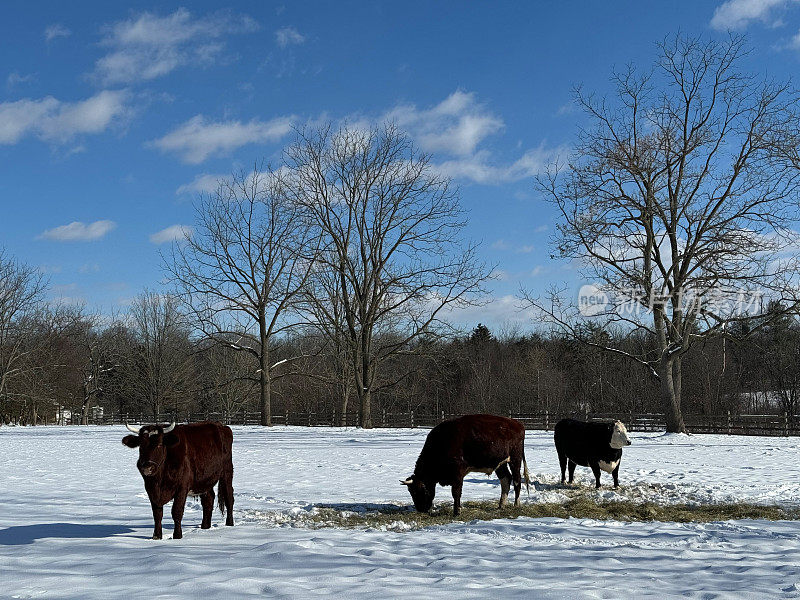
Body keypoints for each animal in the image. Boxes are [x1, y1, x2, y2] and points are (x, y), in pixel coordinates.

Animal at [400, 412, 532, 516]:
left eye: (418, 490)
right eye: (410, 491)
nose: (420, 509)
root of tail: (517, 424)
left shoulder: (458, 473)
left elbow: (456, 492)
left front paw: (456, 512)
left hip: (515, 460)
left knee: (517, 480)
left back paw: (516, 504)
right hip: (500, 464)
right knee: (506, 480)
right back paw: (501, 505)